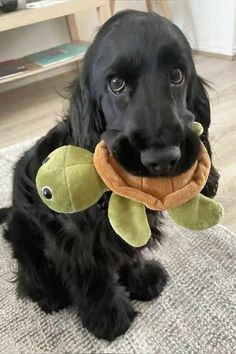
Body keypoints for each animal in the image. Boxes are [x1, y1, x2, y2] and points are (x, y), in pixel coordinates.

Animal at [0, 10, 218, 340]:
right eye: (116, 84)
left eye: (177, 75)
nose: (162, 159)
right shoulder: (76, 241)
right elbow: (93, 277)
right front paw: (109, 318)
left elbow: (127, 250)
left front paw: (141, 280)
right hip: (24, 237)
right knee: (30, 275)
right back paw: (50, 295)